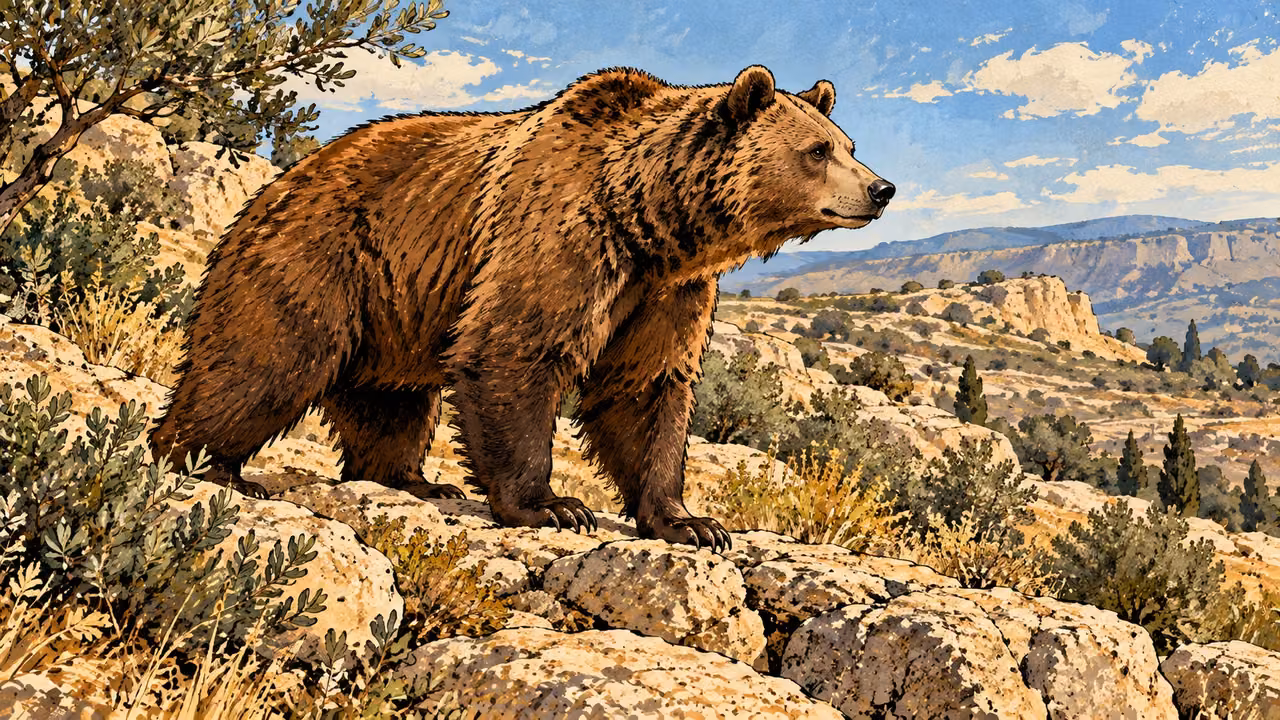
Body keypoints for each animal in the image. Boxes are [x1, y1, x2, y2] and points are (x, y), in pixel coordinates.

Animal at [150, 64, 895, 551]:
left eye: (849, 144)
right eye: (818, 150)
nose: (881, 188)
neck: (651, 217)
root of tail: (276, 182)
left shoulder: (665, 290)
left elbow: (647, 388)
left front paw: (691, 522)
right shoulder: (561, 233)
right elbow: (513, 348)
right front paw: (554, 506)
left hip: (392, 303)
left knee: (388, 397)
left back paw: (417, 482)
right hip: (323, 254)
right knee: (264, 361)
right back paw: (207, 462)